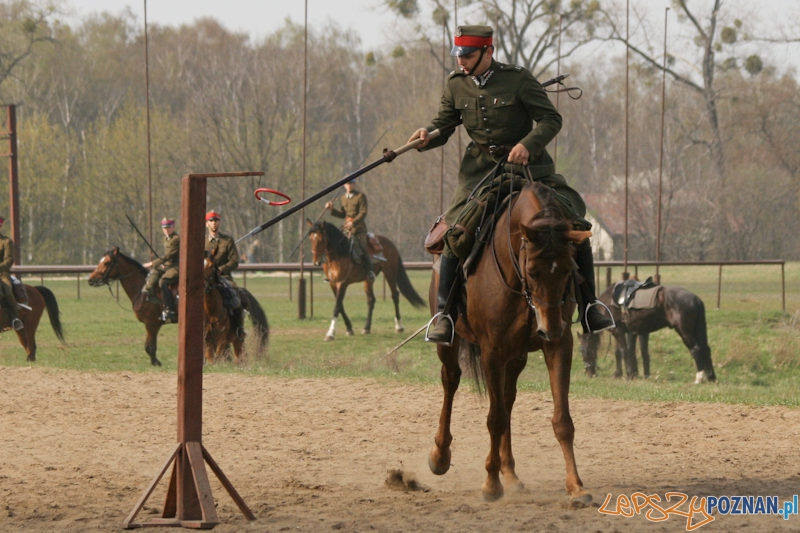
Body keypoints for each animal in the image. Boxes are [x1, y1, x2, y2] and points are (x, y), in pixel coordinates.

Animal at [580, 282, 716, 382]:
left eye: (581, 351)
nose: (589, 373)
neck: (609, 302)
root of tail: (696, 300)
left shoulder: (617, 331)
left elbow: (624, 352)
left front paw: (628, 375)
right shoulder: (627, 331)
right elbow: (620, 352)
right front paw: (619, 374)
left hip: (684, 331)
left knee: (696, 349)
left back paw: (699, 378)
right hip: (698, 330)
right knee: (706, 349)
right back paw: (711, 378)